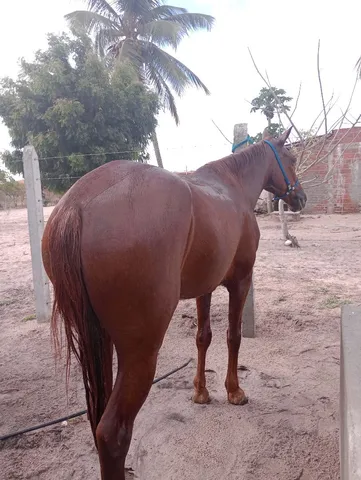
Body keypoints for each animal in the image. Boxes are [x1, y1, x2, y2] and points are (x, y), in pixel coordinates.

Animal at [42, 127, 306, 480]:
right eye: (291, 158)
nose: (300, 198)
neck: (232, 186)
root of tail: (76, 206)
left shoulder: (205, 288)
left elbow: (203, 337)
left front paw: (201, 392)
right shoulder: (240, 281)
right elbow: (233, 337)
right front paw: (234, 391)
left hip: (97, 340)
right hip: (140, 354)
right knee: (112, 432)